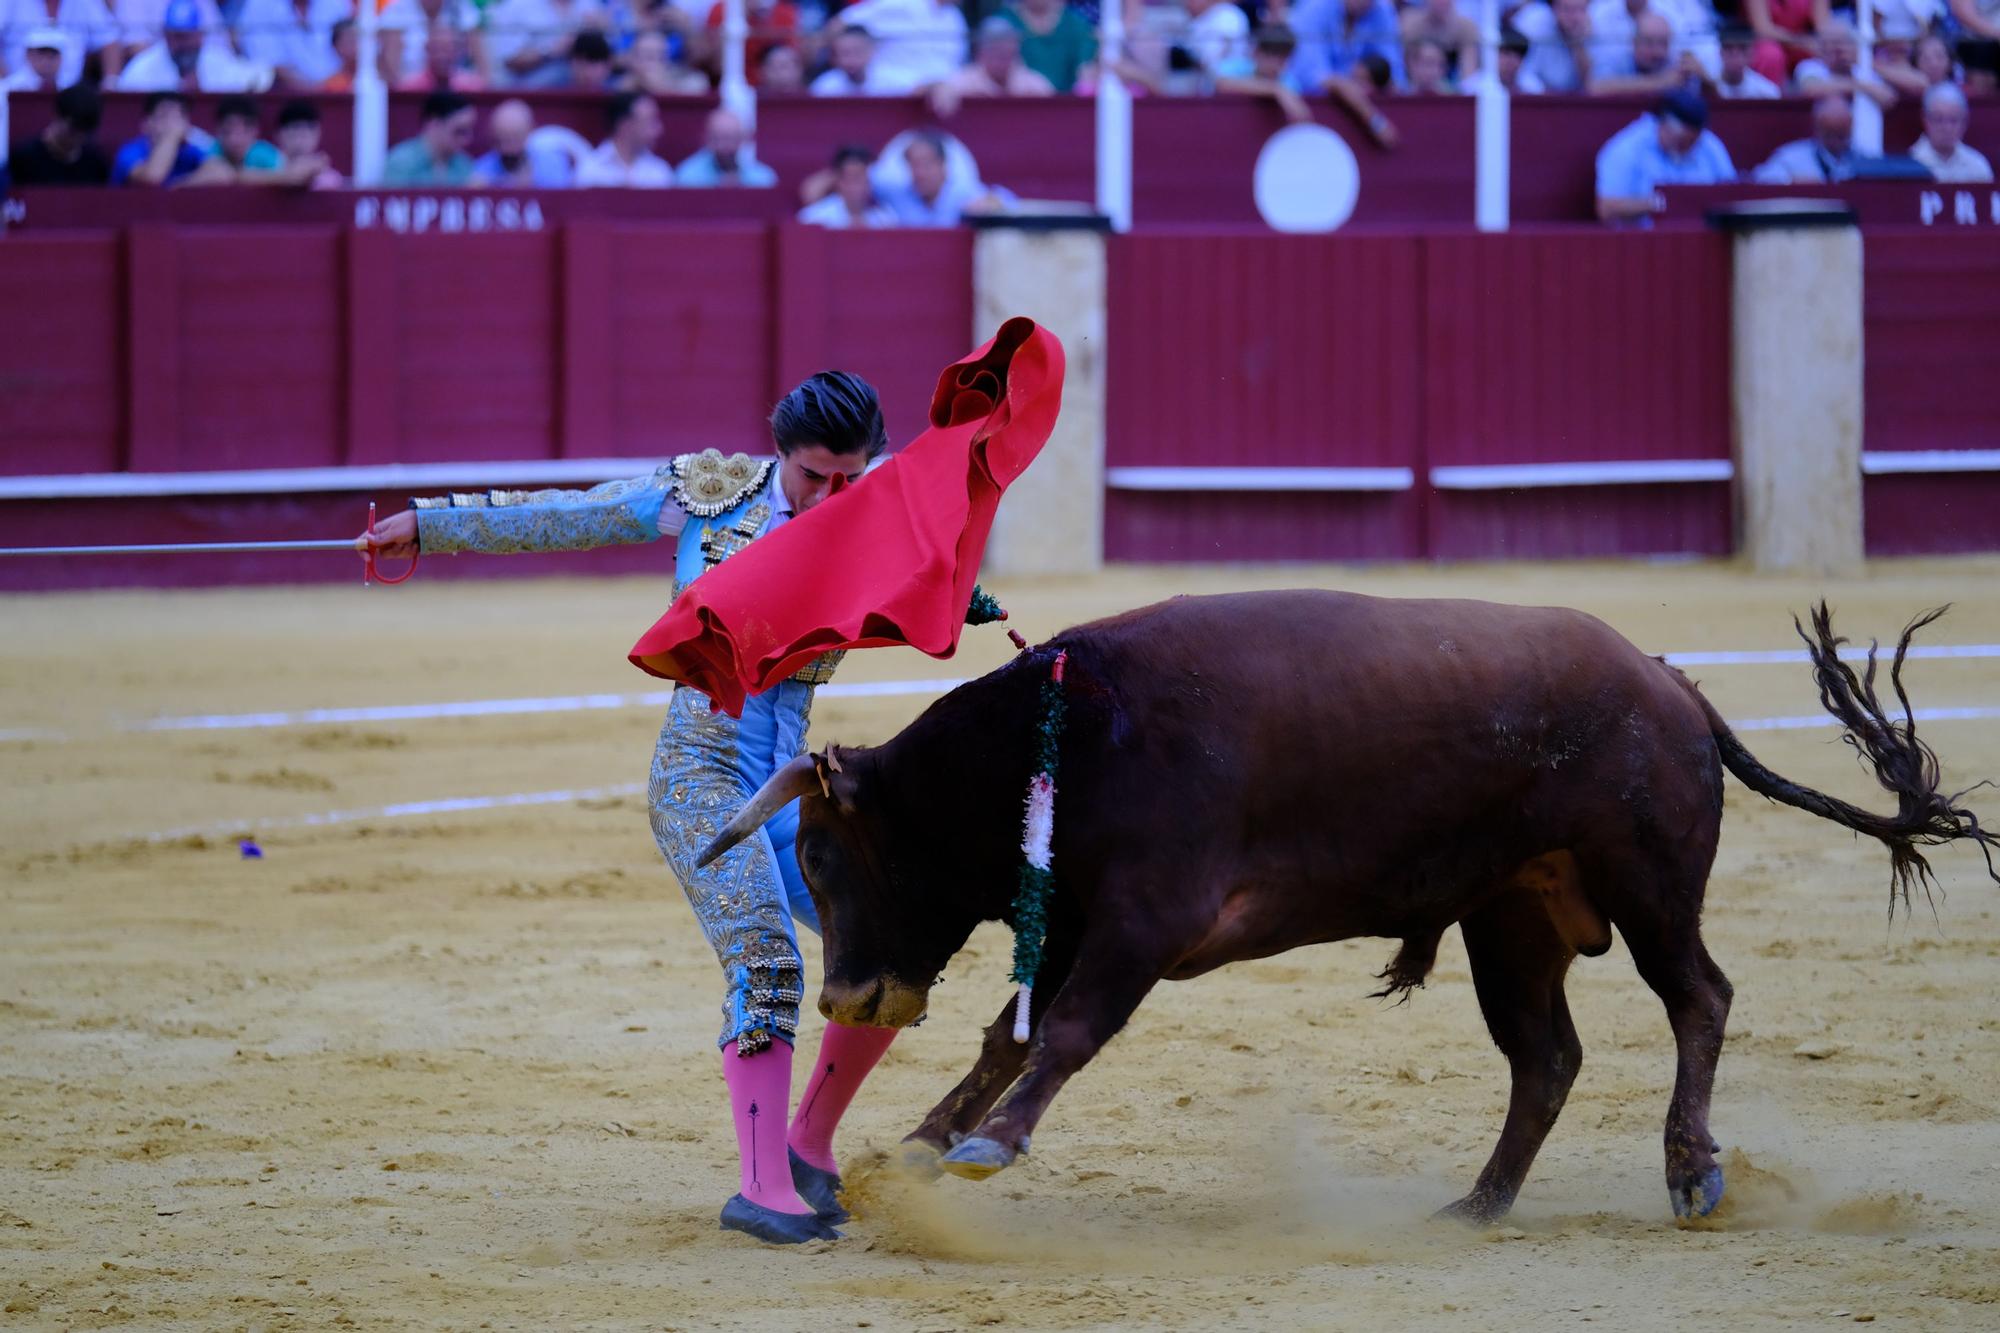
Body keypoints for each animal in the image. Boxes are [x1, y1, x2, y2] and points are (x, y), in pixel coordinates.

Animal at [696, 588, 1992, 1216]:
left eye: (822, 861)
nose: (849, 997)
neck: (1072, 729)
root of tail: (1670, 686)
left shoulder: (1144, 922)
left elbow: (1061, 1031)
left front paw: (986, 1147)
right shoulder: (1073, 921)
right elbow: (1004, 1035)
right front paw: (925, 1141)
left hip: (1649, 885)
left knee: (1699, 998)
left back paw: (1687, 1172)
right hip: (1510, 921)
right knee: (1546, 1057)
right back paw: (1477, 1202)